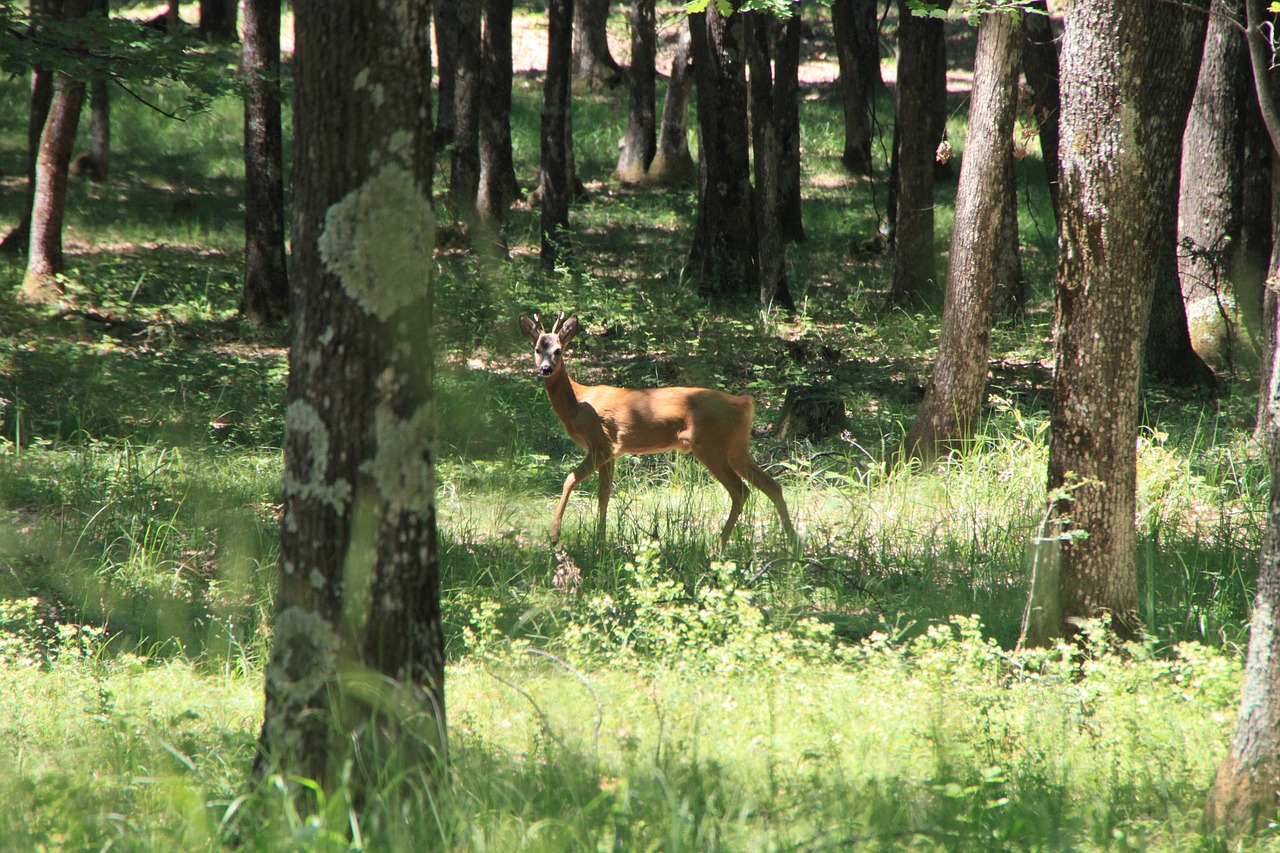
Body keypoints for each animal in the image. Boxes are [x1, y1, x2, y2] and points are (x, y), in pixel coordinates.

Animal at [517, 311, 793, 545]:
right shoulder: (611, 452)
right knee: (772, 485)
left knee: (740, 490)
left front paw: (554, 535)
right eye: (537, 349)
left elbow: (570, 480)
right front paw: (601, 542)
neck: (578, 401)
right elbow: (604, 494)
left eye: (559, 350)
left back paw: (720, 545)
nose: (545, 369)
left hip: (710, 445)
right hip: (737, 447)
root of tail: (744, 403)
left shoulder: (601, 443)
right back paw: (791, 544)